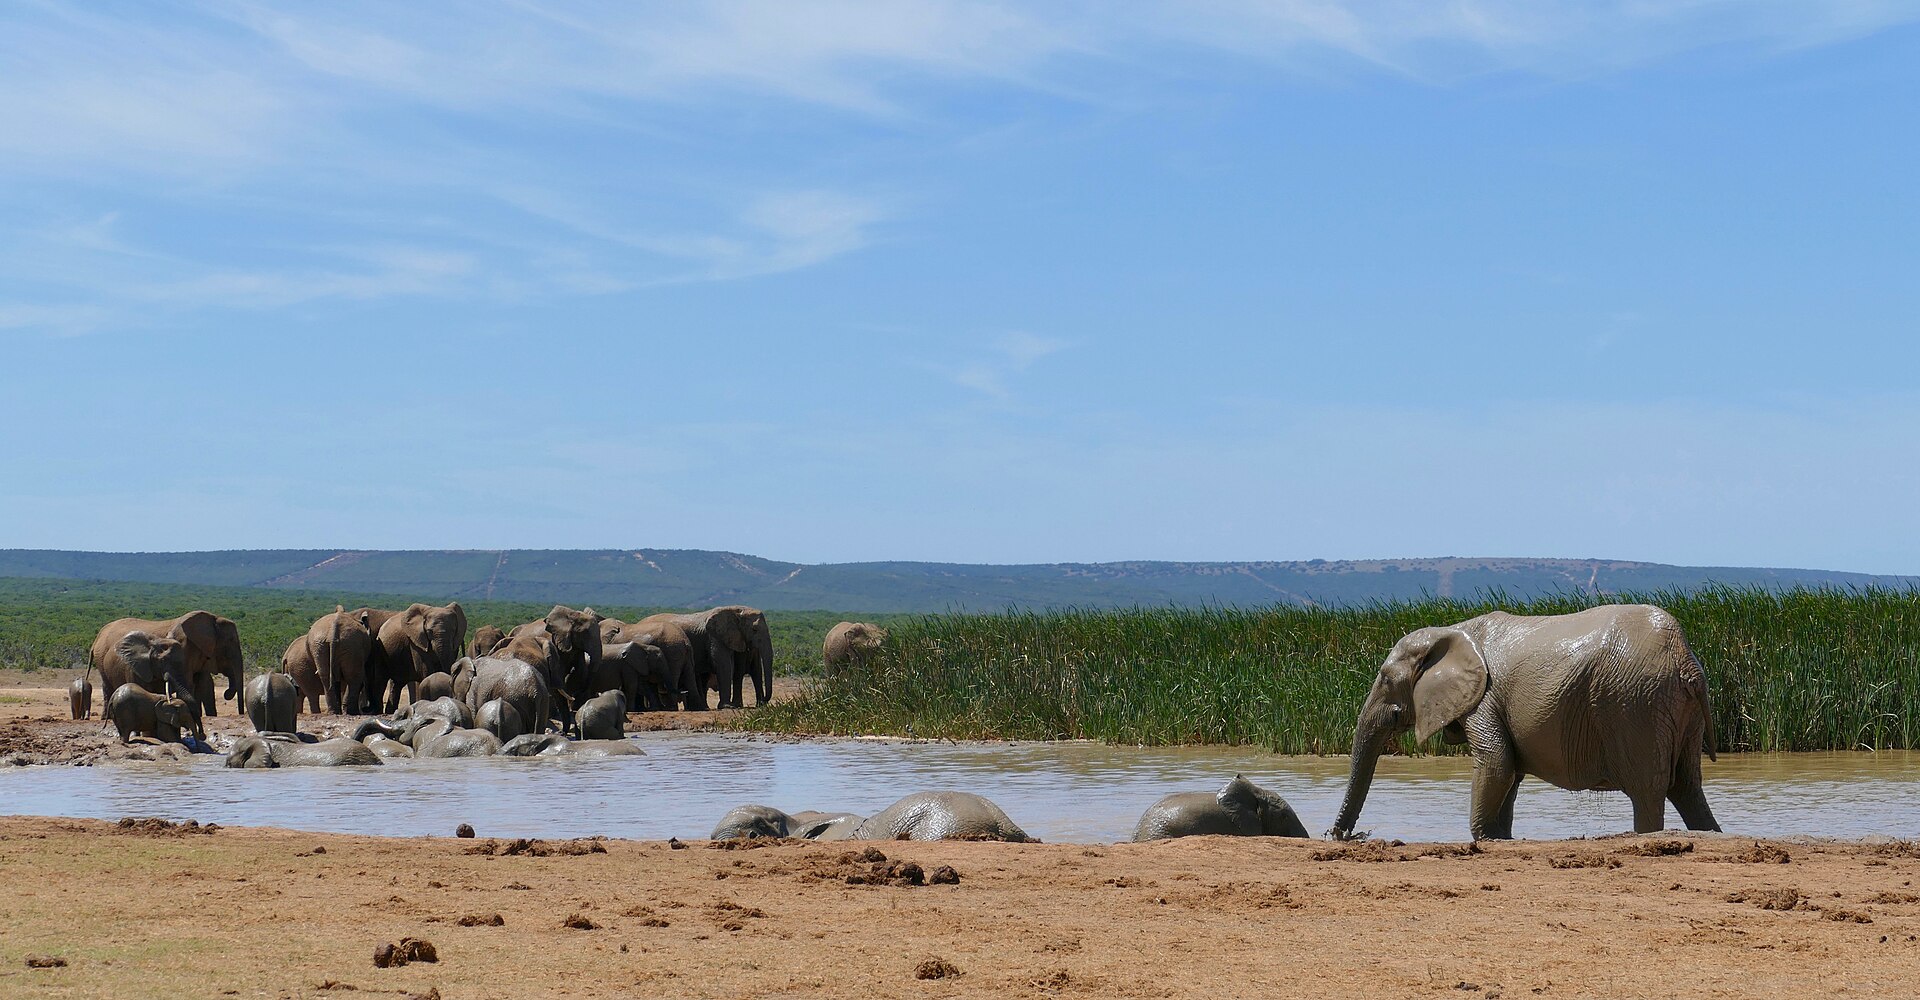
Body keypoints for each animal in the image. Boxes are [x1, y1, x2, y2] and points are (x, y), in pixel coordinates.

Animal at [636, 606, 772, 710]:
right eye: (754, 629)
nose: (764, 701)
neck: (735, 610)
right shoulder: (714, 637)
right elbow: (724, 665)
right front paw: (728, 707)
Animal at [1329, 604, 1722, 842]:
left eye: (1384, 679)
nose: (1343, 837)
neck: (1451, 630)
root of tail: (1684, 658)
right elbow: (1510, 774)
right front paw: (1500, 839)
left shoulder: (1484, 698)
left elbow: (1496, 763)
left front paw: (1484, 838)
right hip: (1675, 710)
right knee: (1687, 788)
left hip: (1635, 704)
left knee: (1649, 791)